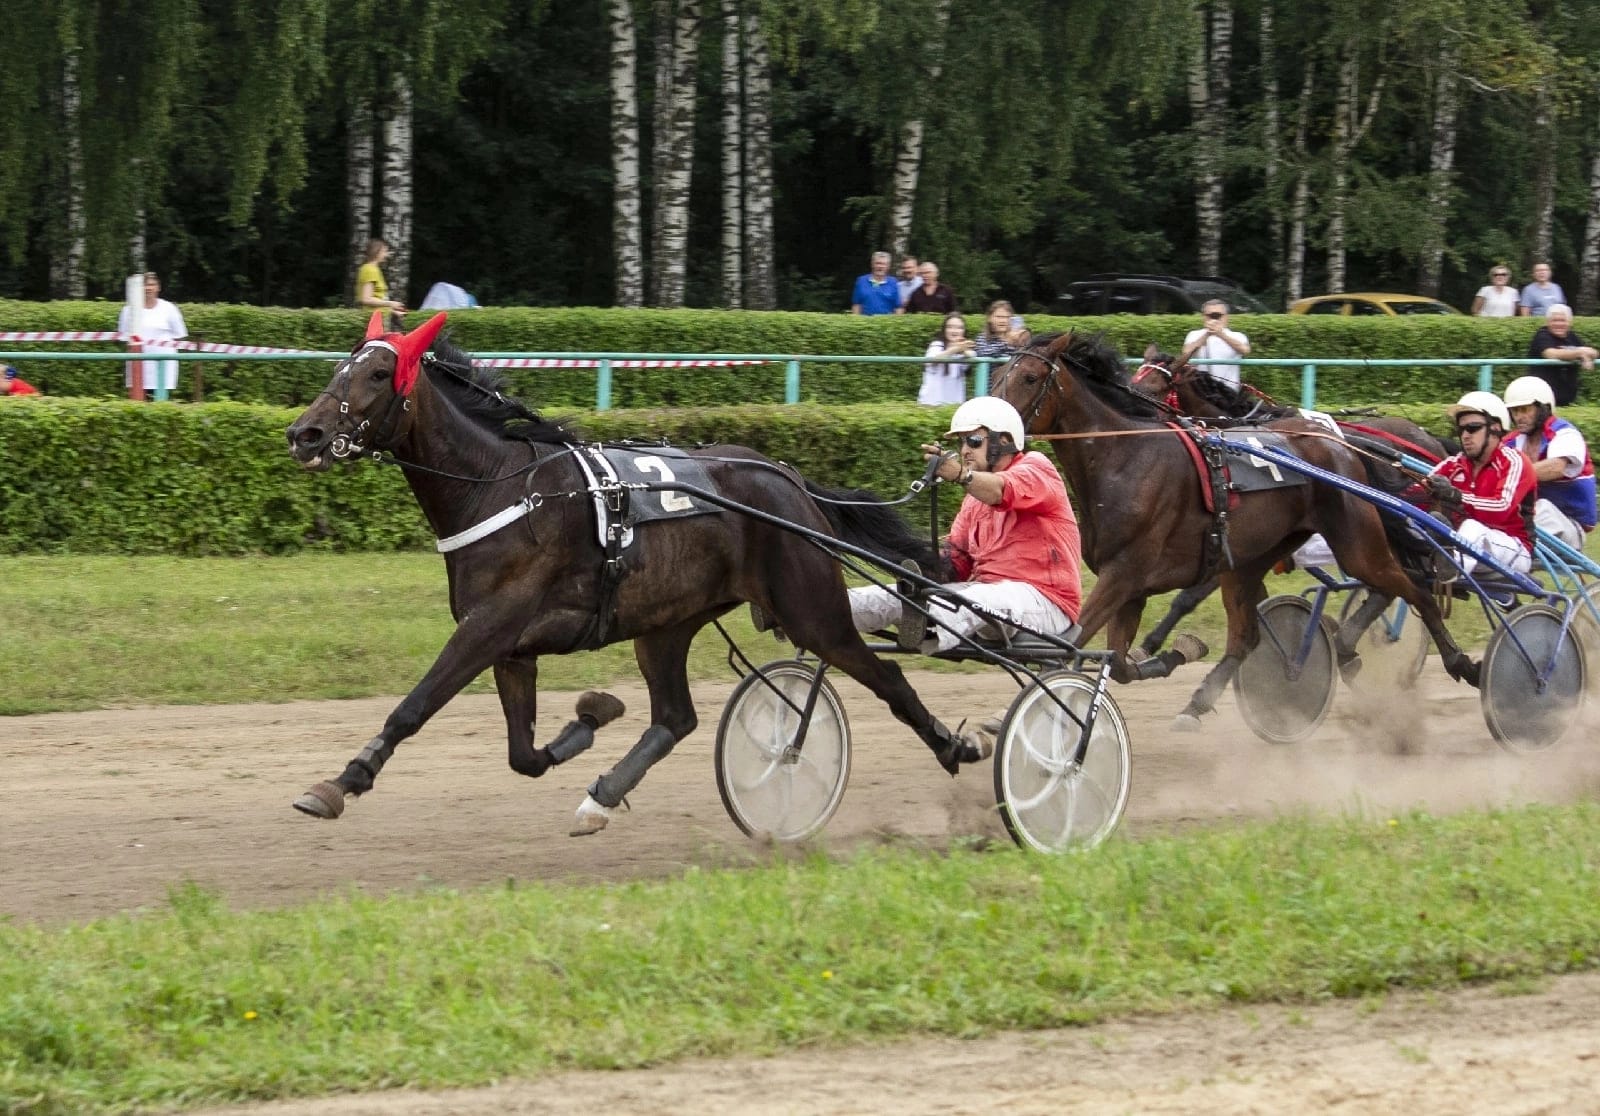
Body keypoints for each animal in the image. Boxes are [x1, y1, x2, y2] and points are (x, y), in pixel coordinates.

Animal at [289, 308, 985, 831]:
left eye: (379, 372)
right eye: (340, 366)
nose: (305, 434)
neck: (500, 488)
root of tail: (787, 479)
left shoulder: (489, 627)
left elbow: (415, 706)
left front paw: (341, 781)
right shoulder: (512, 646)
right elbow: (523, 755)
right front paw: (589, 719)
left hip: (813, 611)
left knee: (888, 677)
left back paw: (955, 745)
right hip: (666, 624)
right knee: (676, 717)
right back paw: (601, 796)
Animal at [992, 326, 1478, 725]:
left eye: (1030, 378)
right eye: (997, 375)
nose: (988, 436)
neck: (1125, 458)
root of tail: (1343, 447)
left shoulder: (1124, 575)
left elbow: (1077, 643)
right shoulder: (1132, 584)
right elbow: (1122, 662)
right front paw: (1170, 653)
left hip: (1357, 544)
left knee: (1413, 589)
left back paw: (1459, 662)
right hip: (1251, 560)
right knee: (1246, 637)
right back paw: (1202, 701)